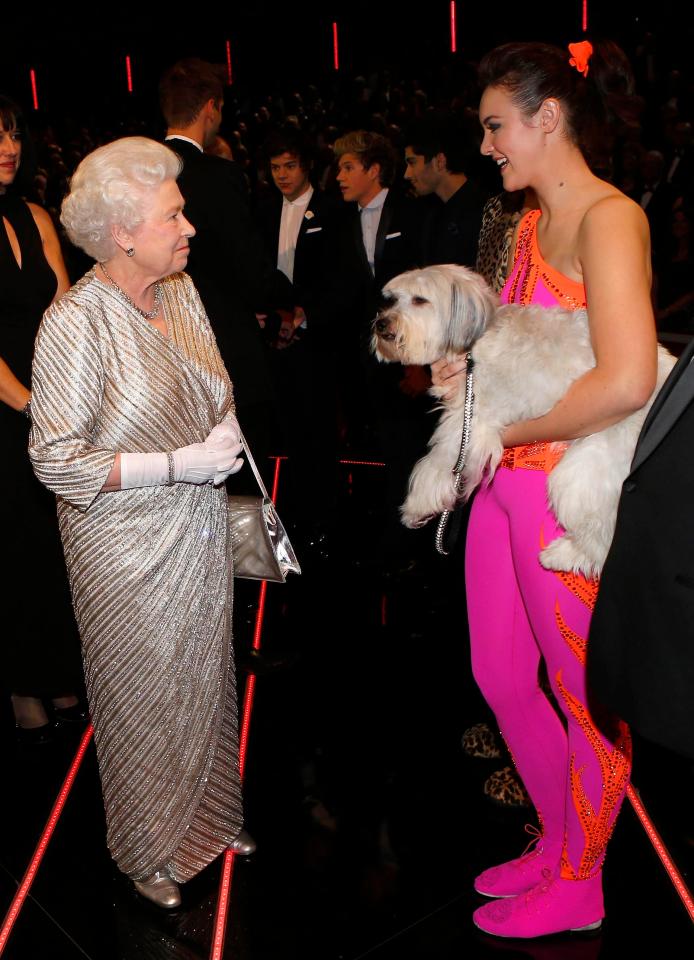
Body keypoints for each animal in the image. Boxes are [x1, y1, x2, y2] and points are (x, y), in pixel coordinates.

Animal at [372, 262, 676, 576]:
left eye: (419, 300)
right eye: (393, 300)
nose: (381, 323)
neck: (476, 340)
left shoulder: (470, 422)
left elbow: (437, 463)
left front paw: (416, 506)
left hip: (587, 469)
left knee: (600, 538)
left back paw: (564, 555)